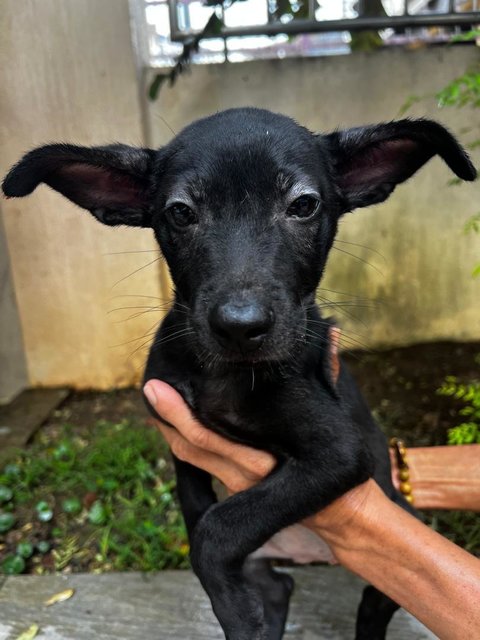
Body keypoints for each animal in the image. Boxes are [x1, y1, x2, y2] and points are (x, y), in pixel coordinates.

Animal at [2, 107, 476, 636]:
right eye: (181, 212)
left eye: (304, 205)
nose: (240, 326)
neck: (225, 374)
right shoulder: (179, 440)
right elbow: (199, 515)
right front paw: (235, 604)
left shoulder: (336, 451)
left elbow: (217, 529)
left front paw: (233, 608)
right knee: (278, 585)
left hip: (390, 552)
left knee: (374, 603)